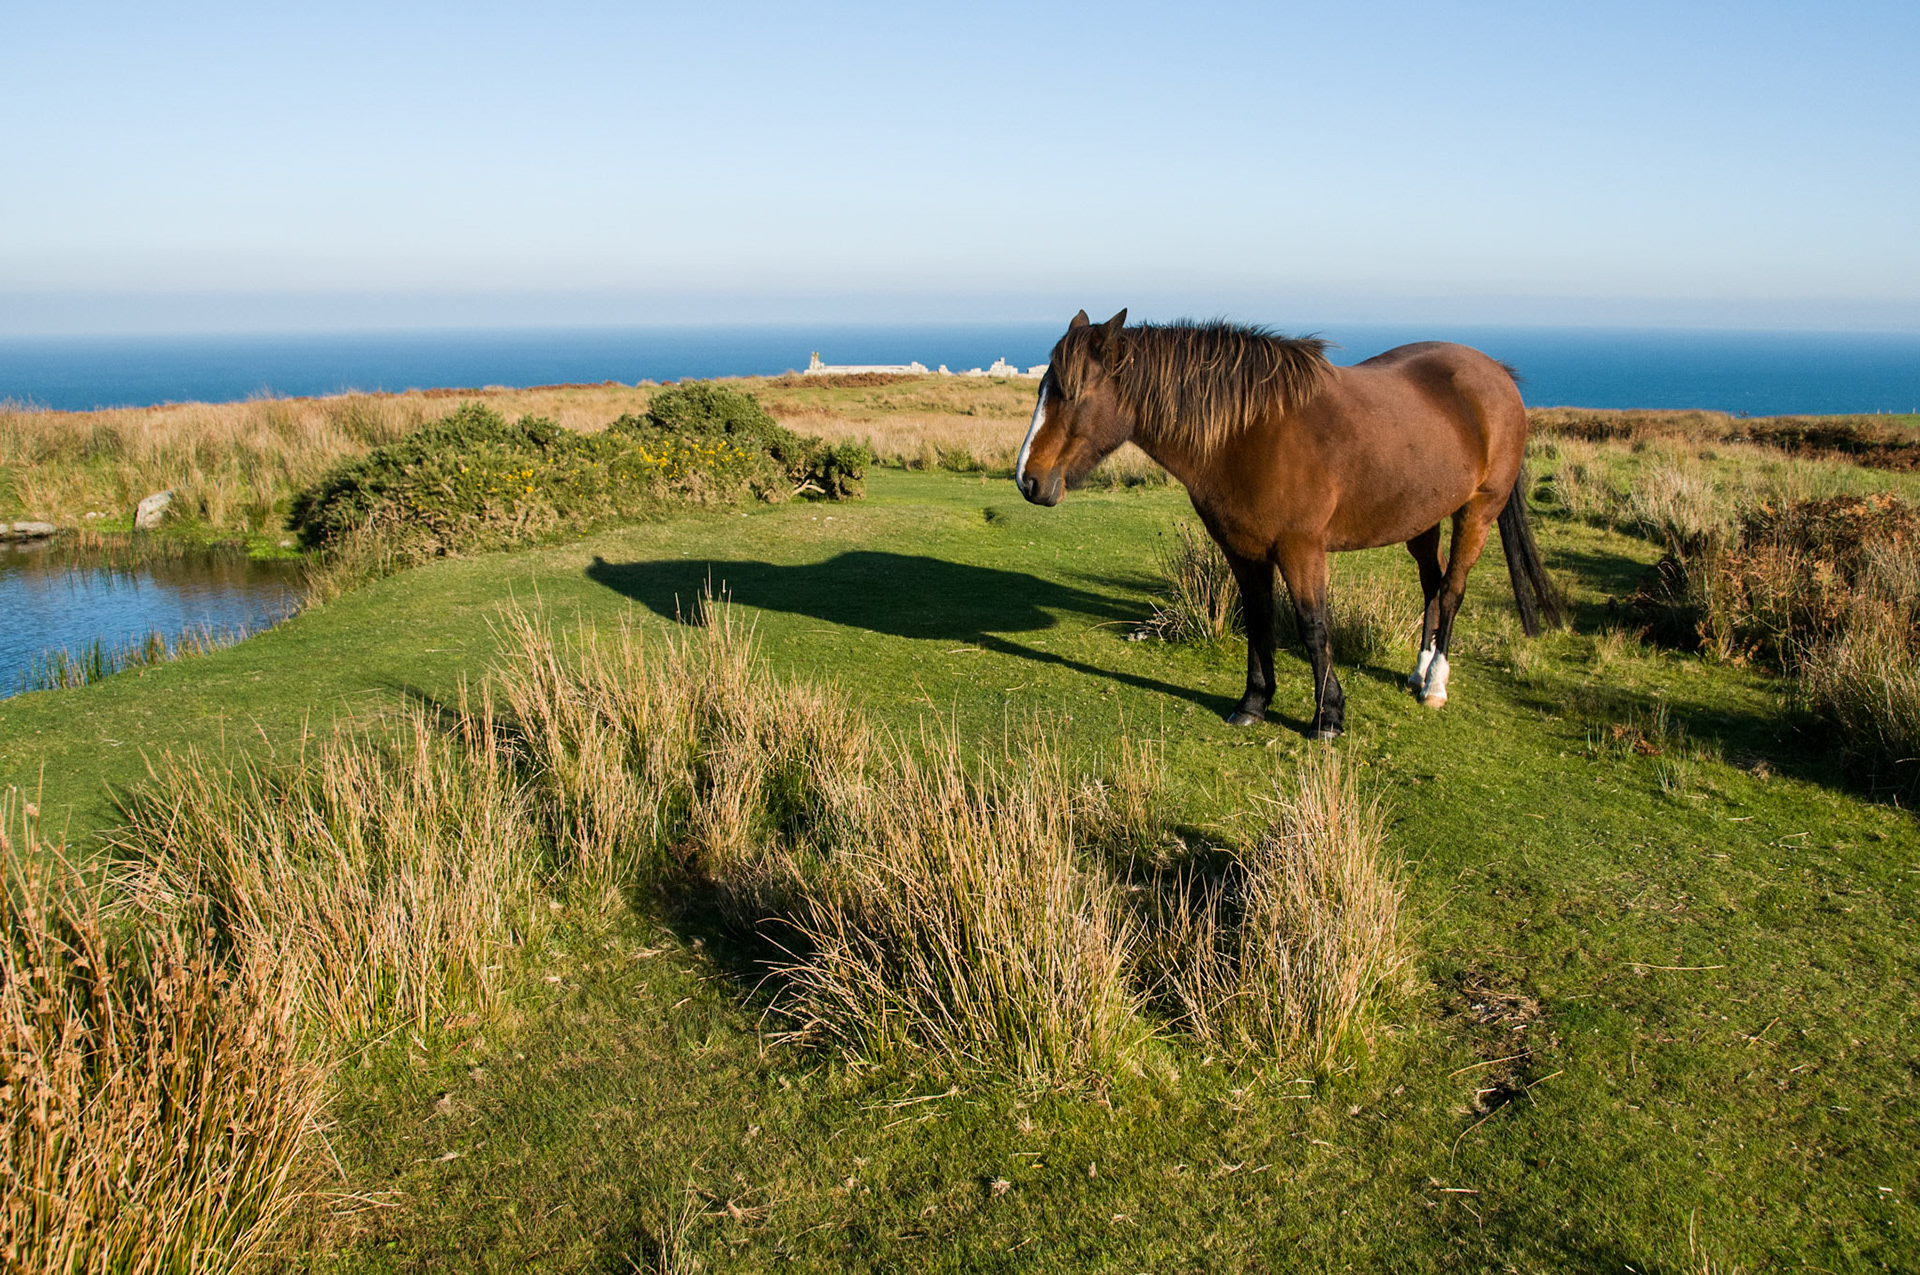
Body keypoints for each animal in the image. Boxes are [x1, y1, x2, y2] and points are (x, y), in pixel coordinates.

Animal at [1014, 309, 1560, 739]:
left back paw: (1435, 684)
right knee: (1432, 583)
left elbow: (1312, 627)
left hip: (1478, 511)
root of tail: (1496, 374)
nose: (1027, 479)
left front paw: (1328, 716)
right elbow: (1258, 619)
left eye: (1070, 393)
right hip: (1421, 519)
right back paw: (1418, 670)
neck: (1249, 430)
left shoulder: (1301, 549)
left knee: (1451, 591)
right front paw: (1253, 703)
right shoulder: (1242, 549)